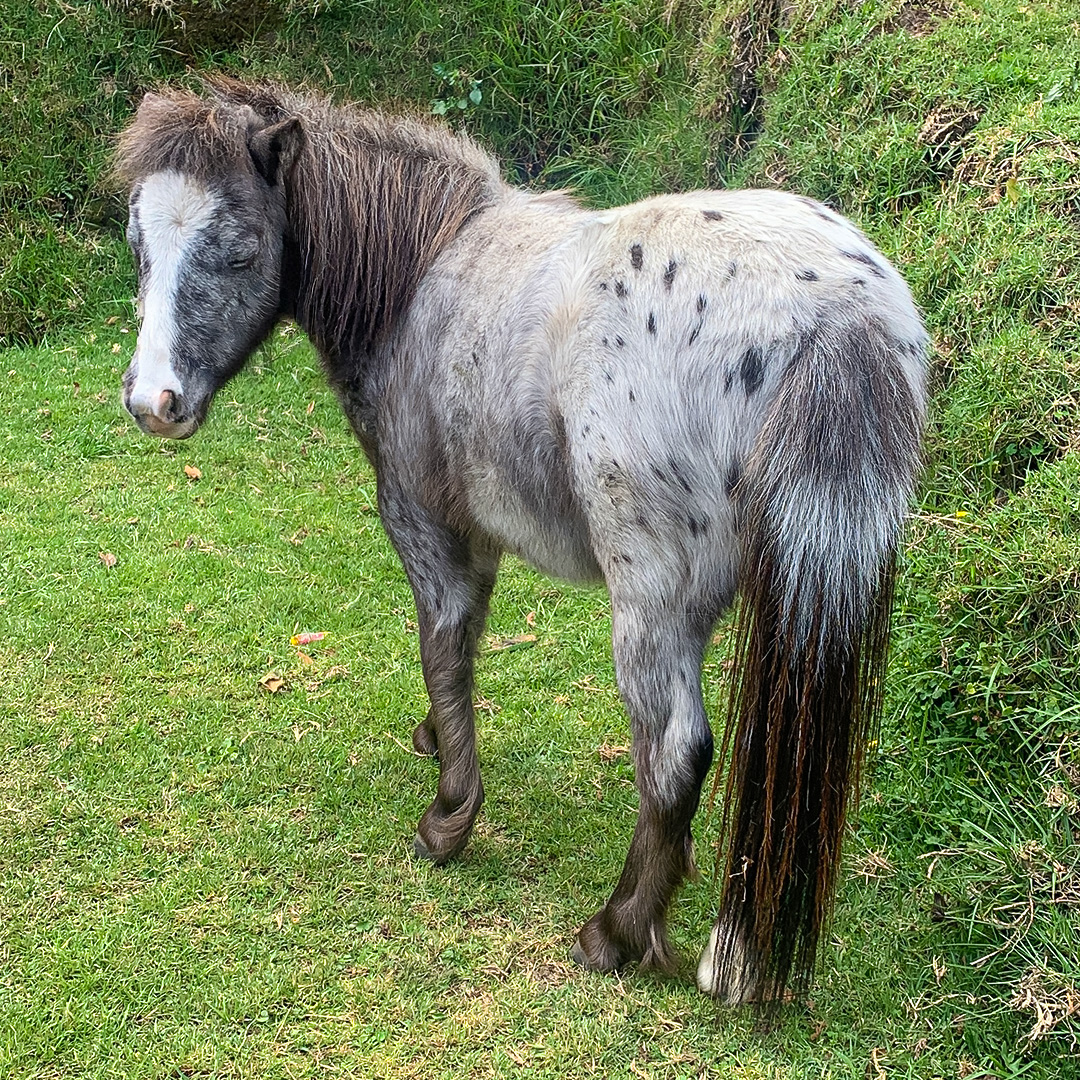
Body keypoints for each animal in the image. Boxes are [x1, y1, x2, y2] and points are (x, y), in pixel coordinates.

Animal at [114, 79, 927, 1005]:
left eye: (242, 251)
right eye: (139, 245)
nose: (153, 403)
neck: (422, 275)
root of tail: (832, 311)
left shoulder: (427, 525)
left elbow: (444, 648)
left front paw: (448, 818)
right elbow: (461, 654)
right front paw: (437, 741)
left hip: (652, 602)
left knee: (674, 753)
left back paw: (616, 932)